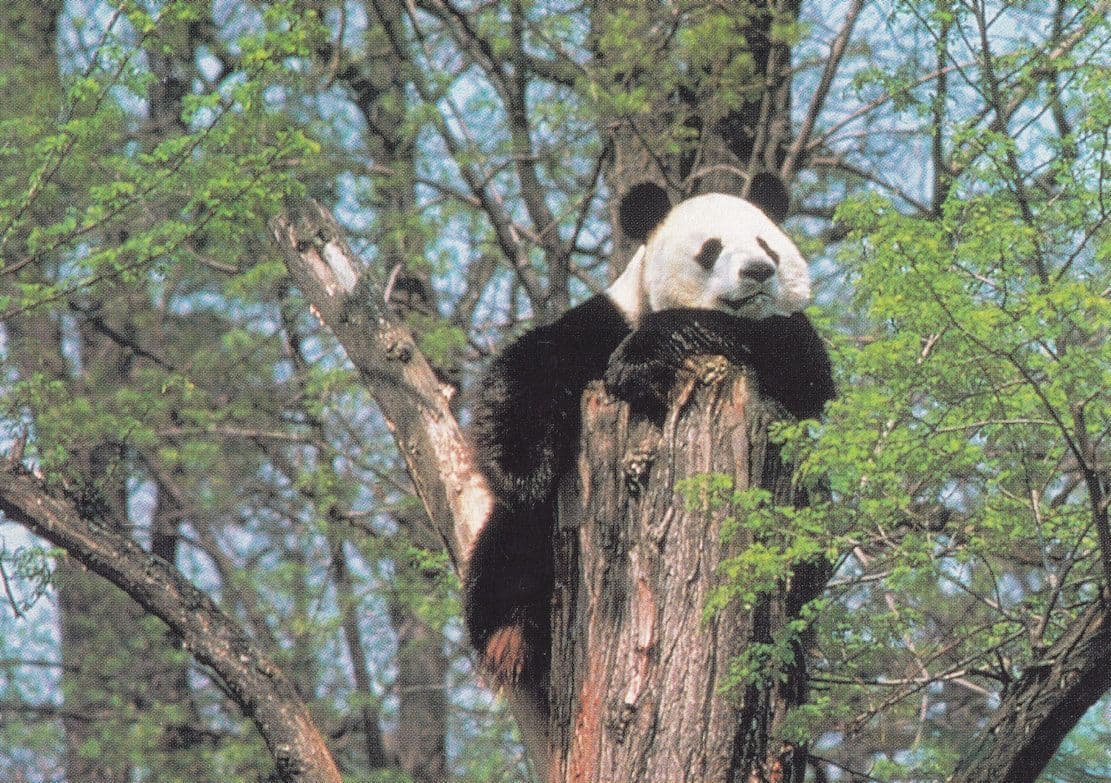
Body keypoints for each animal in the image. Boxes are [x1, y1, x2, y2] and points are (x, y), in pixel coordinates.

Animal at [463, 175, 834, 703]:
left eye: (768, 246)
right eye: (711, 249)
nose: (759, 271)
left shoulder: (786, 343)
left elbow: (800, 367)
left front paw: (639, 362)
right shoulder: (607, 319)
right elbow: (530, 365)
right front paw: (524, 471)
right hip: (516, 547)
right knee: (504, 559)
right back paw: (509, 631)